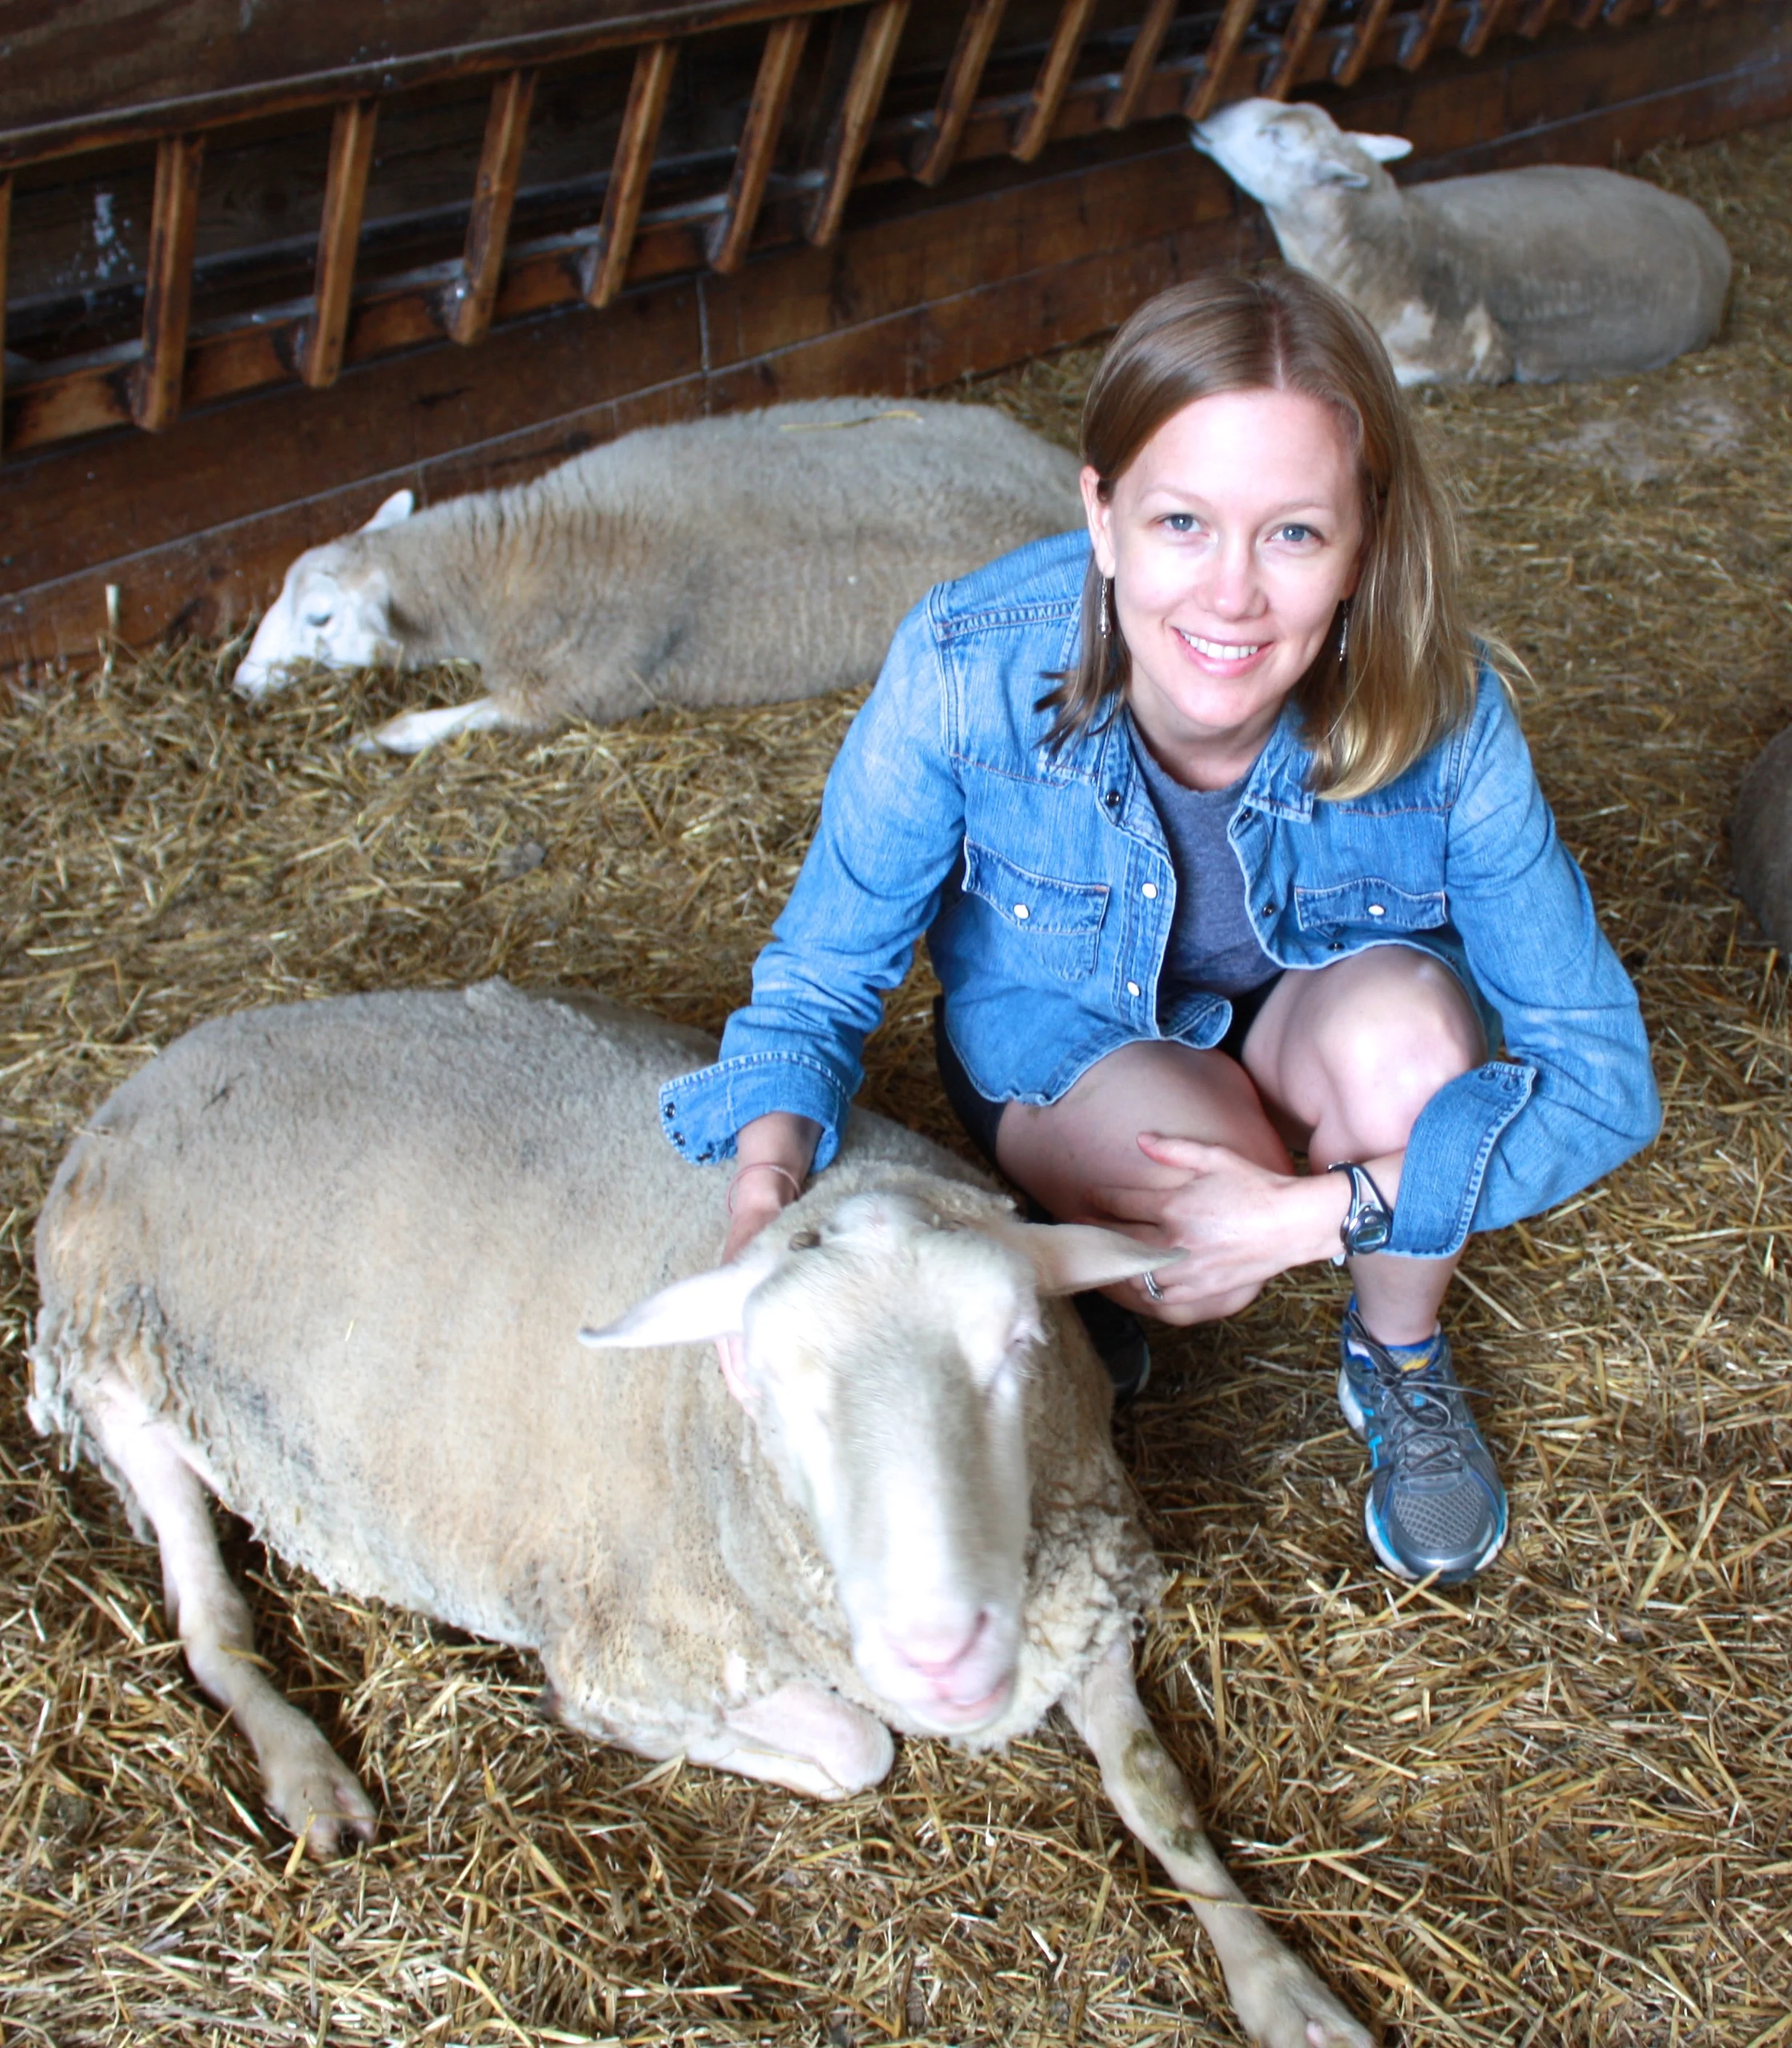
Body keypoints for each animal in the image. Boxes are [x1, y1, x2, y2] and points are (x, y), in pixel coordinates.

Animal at [30, 980, 1370, 2048]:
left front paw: (1284, 1992)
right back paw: (311, 1777)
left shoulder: (1073, 1587)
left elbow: (1154, 1787)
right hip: (119, 1368)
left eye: (1022, 1345)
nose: (939, 1653)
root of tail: (158, 1066)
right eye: (761, 1385)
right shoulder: (643, 1641)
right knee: (210, 1624)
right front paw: (618, 1725)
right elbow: (852, 1751)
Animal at [233, 399, 1082, 753]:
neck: (518, 553)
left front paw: (378, 736)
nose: (239, 683)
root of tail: (1056, 469)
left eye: (319, 618)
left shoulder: (583, 685)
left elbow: (455, 718)